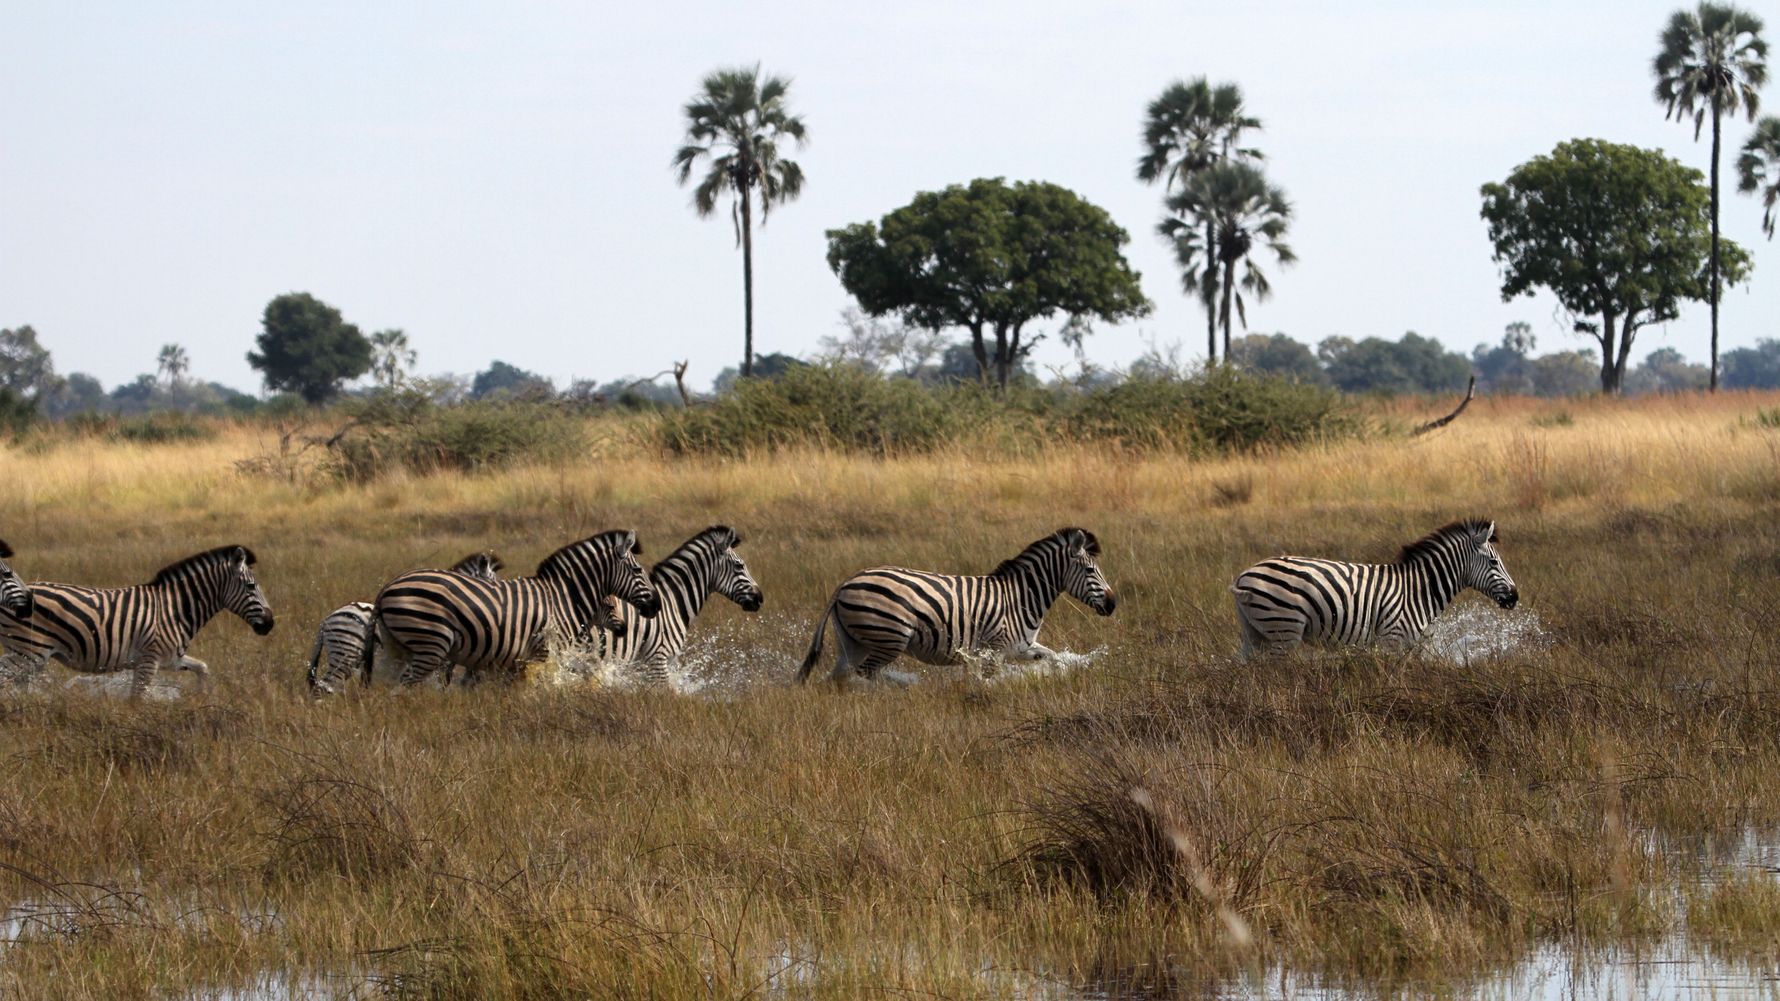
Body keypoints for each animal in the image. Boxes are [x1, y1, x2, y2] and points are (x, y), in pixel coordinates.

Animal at [0, 545, 275, 697]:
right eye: (251, 587)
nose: (270, 624)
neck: (175, 609)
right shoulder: (148, 660)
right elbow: (137, 699)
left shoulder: (171, 659)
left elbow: (203, 668)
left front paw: (201, 698)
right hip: (27, 651)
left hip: (29, 657)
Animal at [305, 551, 505, 698]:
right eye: (493, 583)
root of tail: (326, 621)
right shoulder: (441, 658)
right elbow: (440, 685)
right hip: (346, 653)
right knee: (326, 686)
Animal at [374, 530, 661, 687]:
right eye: (638, 570)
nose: (656, 606)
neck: (563, 597)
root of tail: (385, 588)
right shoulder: (544, 652)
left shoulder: (518, 660)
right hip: (430, 643)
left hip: (398, 649)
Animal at [795, 527, 1116, 686]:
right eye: (1090, 571)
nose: (1113, 604)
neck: (1020, 598)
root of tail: (847, 581)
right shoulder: (994, 650)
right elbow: (990, 683)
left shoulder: (1021, 647)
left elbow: (1053, 657)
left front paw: (1066, 670)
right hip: (889, 636)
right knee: (865, 675)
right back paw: (900, 686)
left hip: (853, 642)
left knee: (839, 677)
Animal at [1230, 518, 1519, 658]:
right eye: (1494, 562)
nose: (1515, 597)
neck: (1419, 591)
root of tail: (1243, 577)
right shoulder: (1392, 639)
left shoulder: (1412, 646)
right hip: (1284, 629)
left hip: (1254, 633)